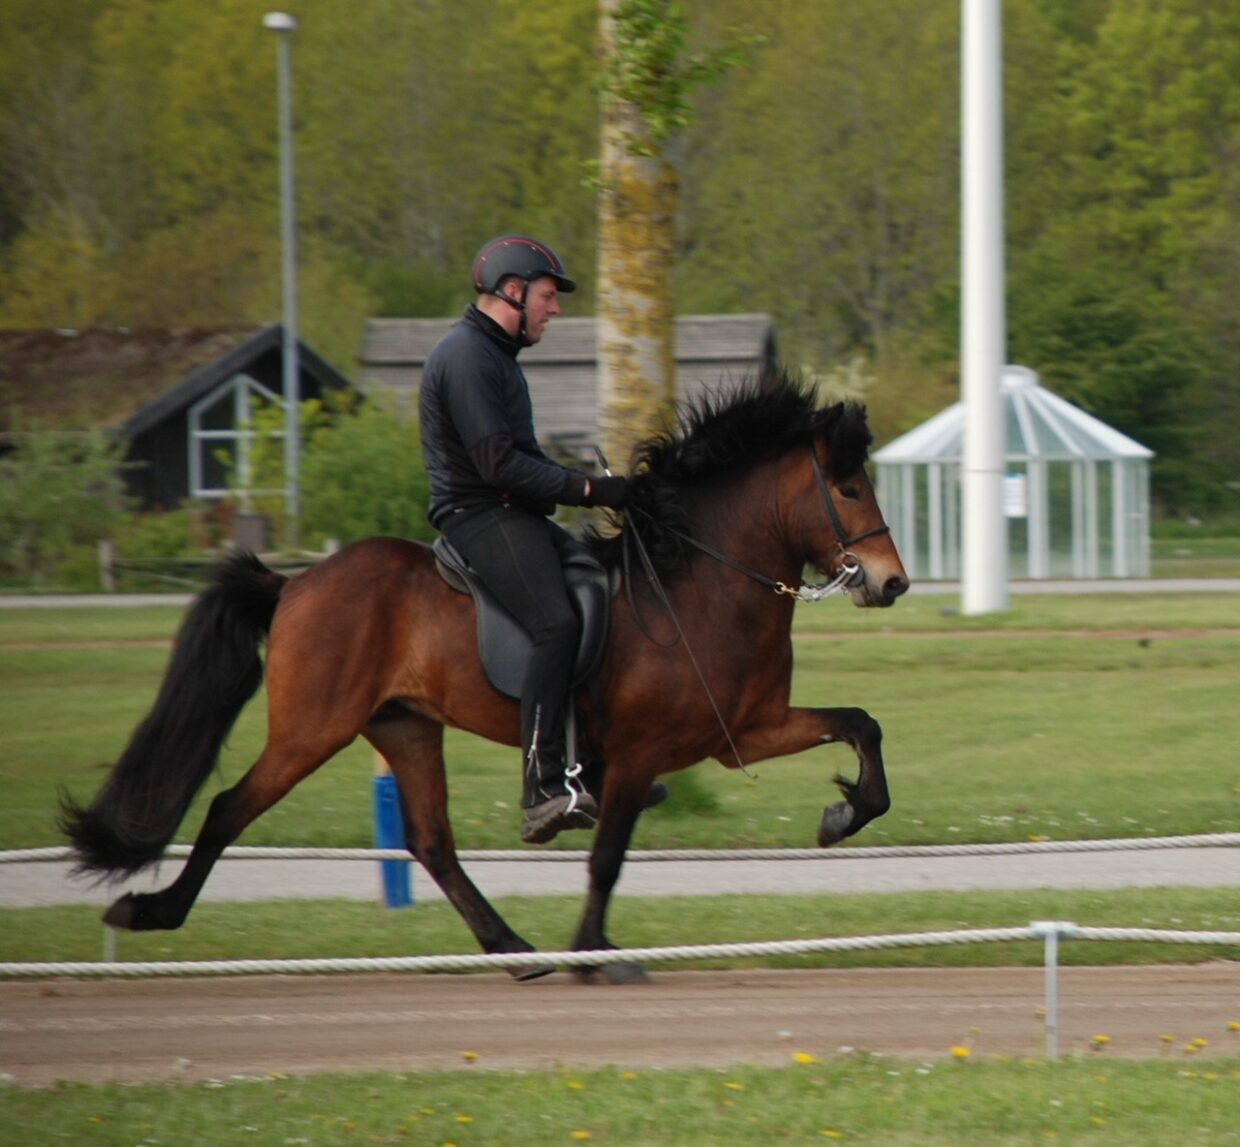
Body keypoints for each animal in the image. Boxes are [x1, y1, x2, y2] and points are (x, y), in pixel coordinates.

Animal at [60, 369, 912, 987]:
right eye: (847, 489)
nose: (892, 582)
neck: (701, 582)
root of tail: (295, 583)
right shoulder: (641, 753)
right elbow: (608, 856)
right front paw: (594, 952)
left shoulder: (745, 731)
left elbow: (862, 724)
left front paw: (843, 815)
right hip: (313, 728)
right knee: (229, 807)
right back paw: (153, 910)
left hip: (404, 725)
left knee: (431, 841)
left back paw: (514, 947)